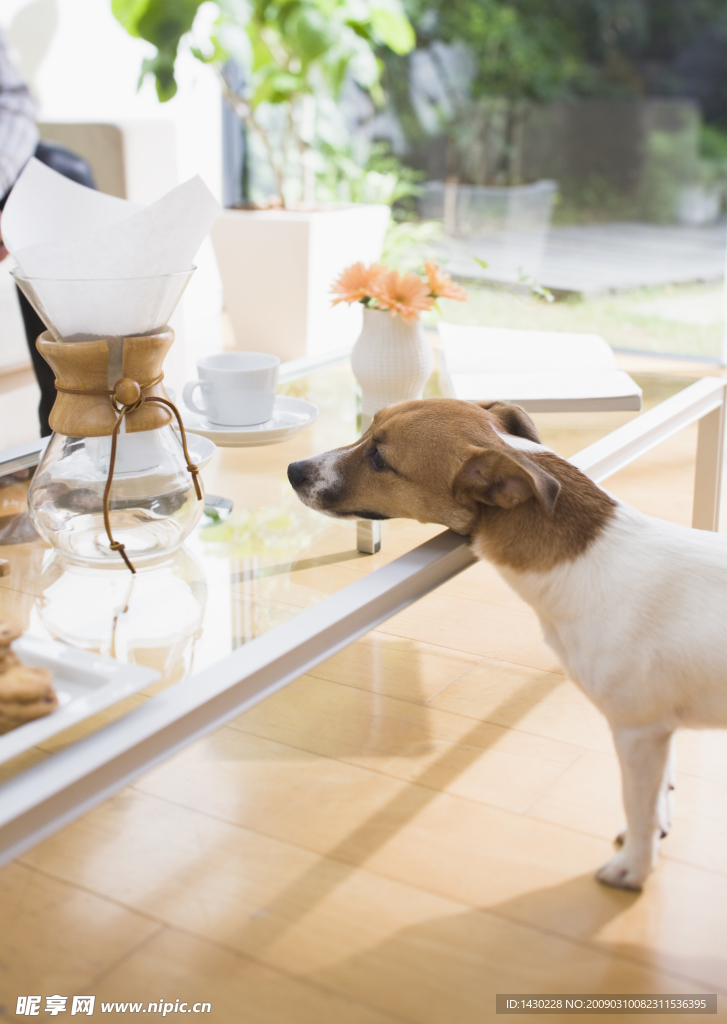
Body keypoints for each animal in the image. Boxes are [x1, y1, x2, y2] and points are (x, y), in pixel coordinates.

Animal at [286, 395, 727, 892]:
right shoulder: (659, 726)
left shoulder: (638, 728)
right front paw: (660, 822)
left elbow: (638, 804)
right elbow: (659, 788)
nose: (293, 469)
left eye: (380, 458)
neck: (588, 564)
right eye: (368, 428)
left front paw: (634, 864)